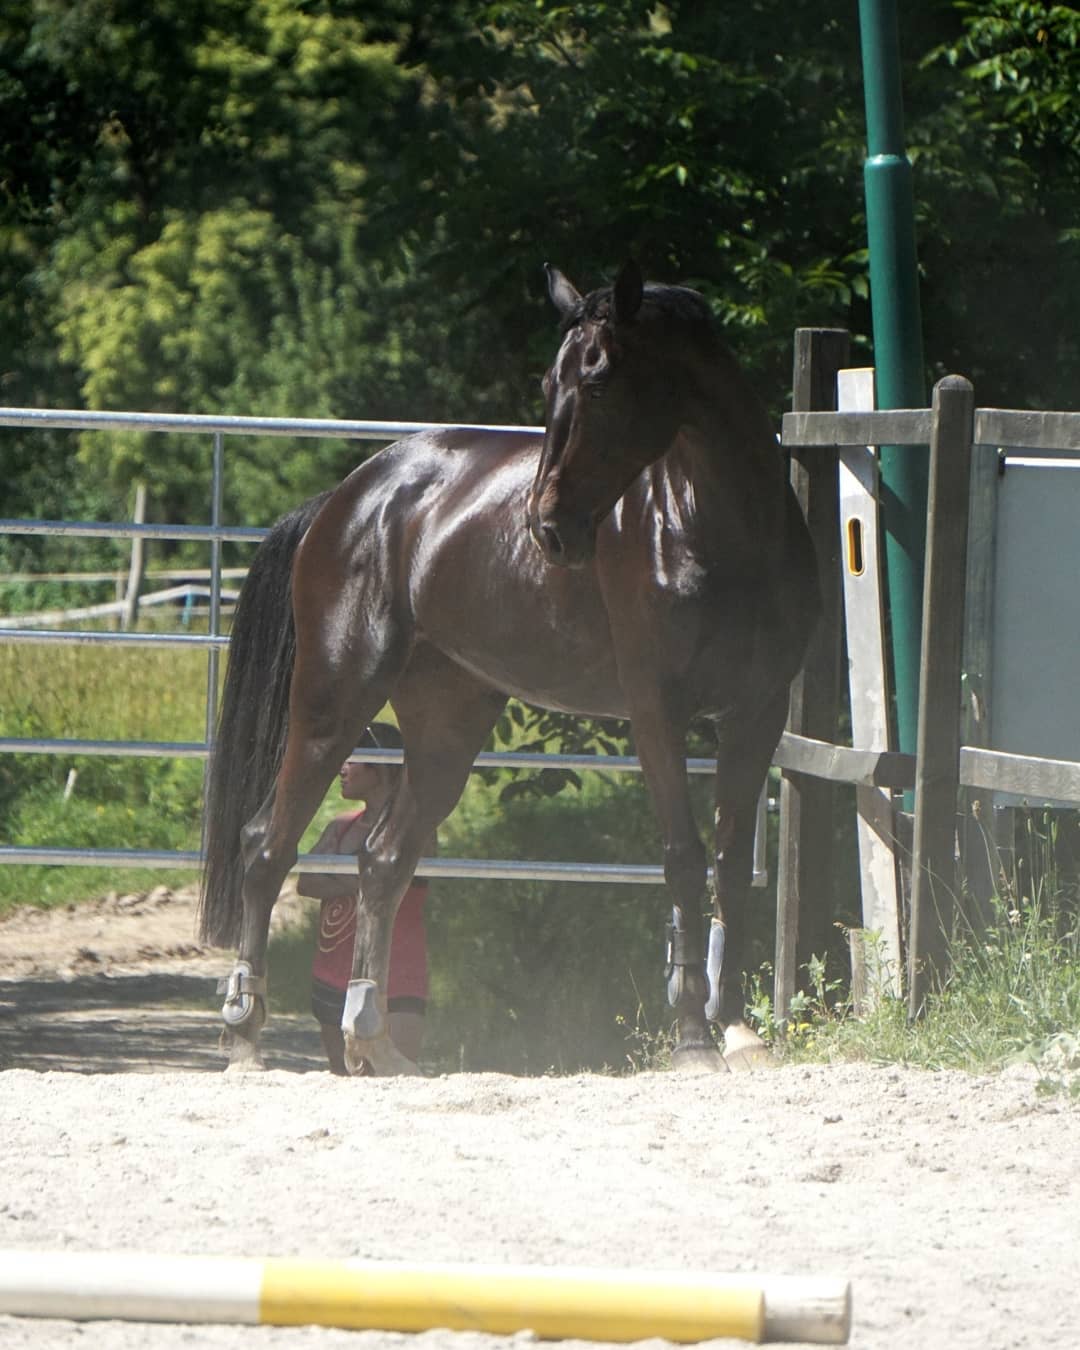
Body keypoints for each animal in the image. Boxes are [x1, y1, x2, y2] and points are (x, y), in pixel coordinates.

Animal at [199, 263, 820, 1074]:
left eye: (600, 380)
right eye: (549, 382)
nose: (547, 528)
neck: (716, 528)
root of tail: (346, 499)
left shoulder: (757, 714)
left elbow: (730, 866)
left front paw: (741, 1030)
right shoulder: (659, 713)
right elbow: (684, 860)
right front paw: (692, 1039)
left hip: (448, 724)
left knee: (382, 860)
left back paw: (374, 1043)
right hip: (334, 699)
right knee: (265, 845)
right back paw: (245, 1031)